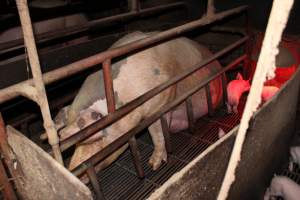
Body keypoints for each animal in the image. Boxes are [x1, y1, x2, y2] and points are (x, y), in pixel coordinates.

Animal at [55, 31, 223, 172]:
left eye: (93, 141)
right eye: (76, 144)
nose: (73, 169)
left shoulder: (161, 100)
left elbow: (157, 131)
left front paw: (153, 165)